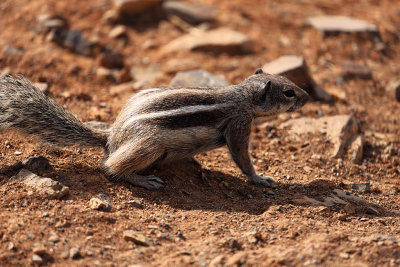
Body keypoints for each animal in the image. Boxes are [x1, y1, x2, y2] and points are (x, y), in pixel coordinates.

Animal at [0, 69, 310, 191]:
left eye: (289, 82)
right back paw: (142, 179)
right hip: (150, 144)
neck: (242, 95)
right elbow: (242, 158)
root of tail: (111, 138)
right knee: (111, 167)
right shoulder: (239, 125)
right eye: (289, 92)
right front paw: (260, 178)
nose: (308, 97)